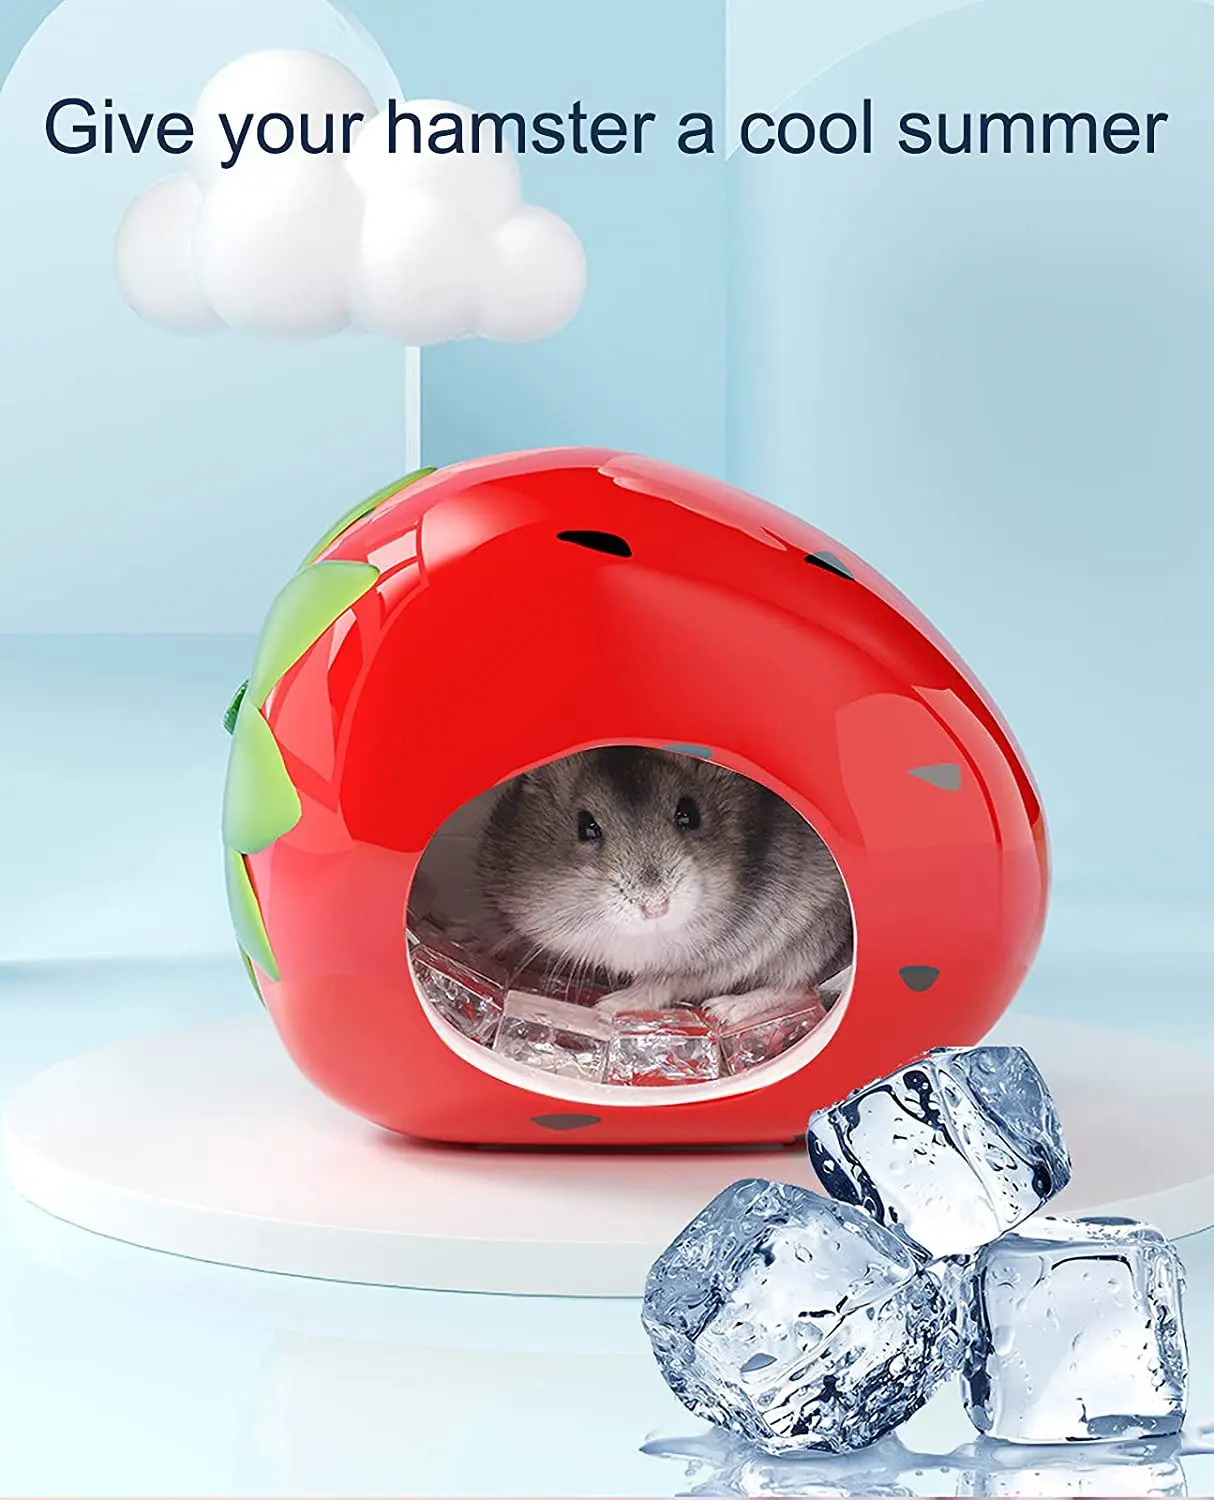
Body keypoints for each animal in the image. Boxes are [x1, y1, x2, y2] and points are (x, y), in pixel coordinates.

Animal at [475, 746, 853, 1028]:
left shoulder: (723, 955)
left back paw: (724, 1010)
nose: (656, 906)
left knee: (798, 987)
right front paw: (477, 942)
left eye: (688, 814)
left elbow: (665, 981)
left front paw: (606, 1006)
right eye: (586, 827)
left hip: (813, 938)